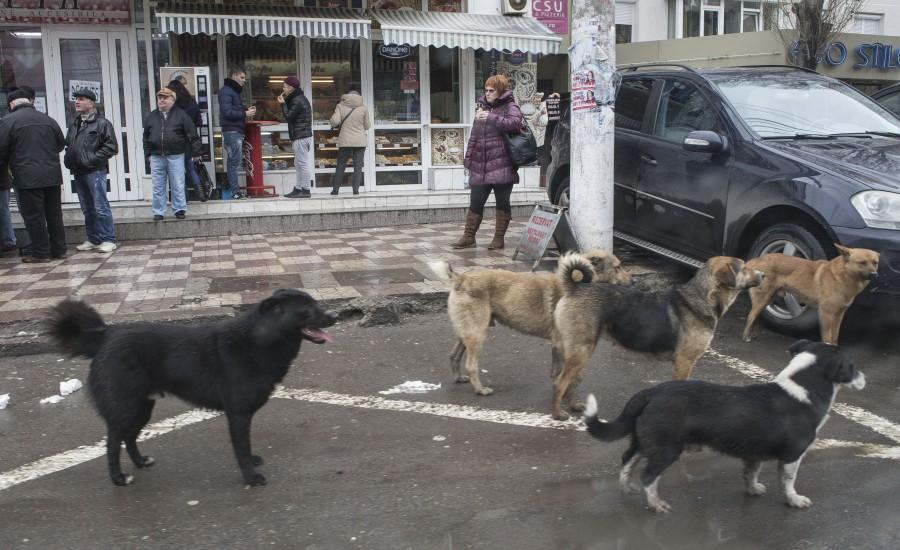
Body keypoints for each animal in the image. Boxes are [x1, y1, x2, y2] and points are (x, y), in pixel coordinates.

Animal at [48, 288, 338, 488]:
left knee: (129, 437)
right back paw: (118, 478)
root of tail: (106, 337)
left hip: (143, 407)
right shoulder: (238, 415)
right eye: (308, 308)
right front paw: (250, 477)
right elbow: (241, 450)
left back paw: (140, 462)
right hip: (125, 407)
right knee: (112, 443)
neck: (259, 339)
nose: (335, 315)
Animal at [428, 252, 632, 398]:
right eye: (618, 267)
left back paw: (458, 378)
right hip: (477, 334)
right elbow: (568, 372)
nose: (635, 281)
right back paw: (480, 390)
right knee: (471, 365)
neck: (576, 284)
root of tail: (461, 278)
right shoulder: (564, 344)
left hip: (468, 331)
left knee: (453, 355)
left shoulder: (557, 345)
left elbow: (556, 370)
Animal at [548, 256, 768, 420]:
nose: (764, 274)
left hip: (577, 352)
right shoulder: (684, 362)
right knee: (559, 383)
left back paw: (574, 405)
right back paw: (558, 414)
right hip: (581, 352)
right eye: (745, 268)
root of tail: (575, 288)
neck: (703, 297)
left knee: (569, 381)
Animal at [584, 338, 864, 516]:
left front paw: (753, 489)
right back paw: (656, 504)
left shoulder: (755, 451)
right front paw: (794, 500)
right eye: (852, 366)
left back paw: (626, 487)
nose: (864, 377)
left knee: (627, 460)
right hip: (666, 448)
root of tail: (649, 393)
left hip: (644, 440)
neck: (802, 389)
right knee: (649, 475)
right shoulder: (793, 455)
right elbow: (788, 481)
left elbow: (751, 473)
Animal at [740, 245, 884, 344]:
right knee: (750, 316)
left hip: (768, 299)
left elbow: (835, 336)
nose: (874, 275)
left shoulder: (839, 314)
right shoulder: (826, 313)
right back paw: (746, 336)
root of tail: (756, 260)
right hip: (763, 298)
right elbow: (827, 337)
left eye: (875, 263)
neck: (843, 276)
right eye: (862, 263)